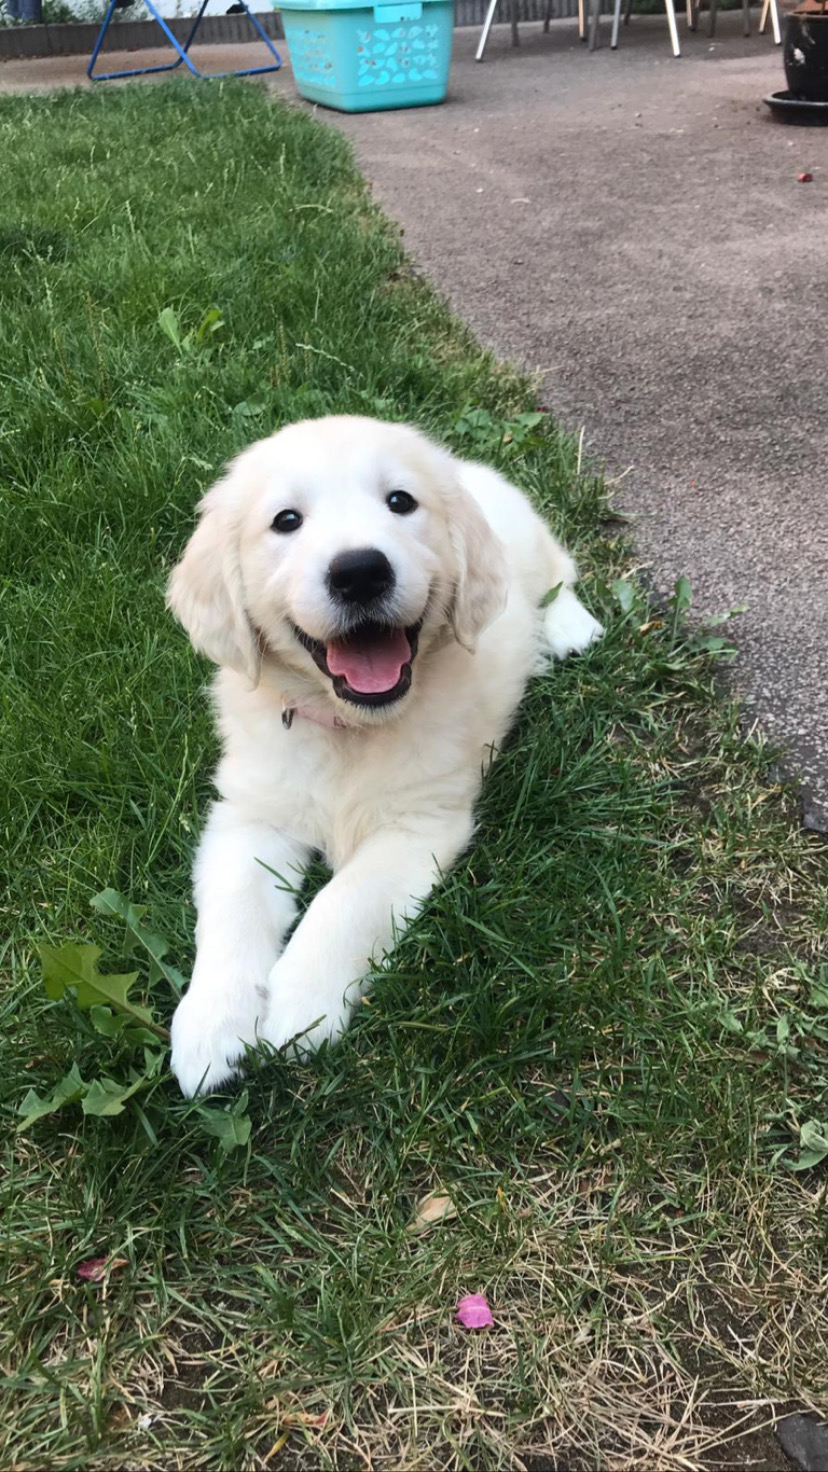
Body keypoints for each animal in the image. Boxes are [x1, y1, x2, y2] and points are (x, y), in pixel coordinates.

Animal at [167, 415, 602, 1096]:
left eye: (400, 502)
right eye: (286, 520)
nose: (360, 572)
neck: (350, 728)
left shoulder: (417, 825)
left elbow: (344, 902)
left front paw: (298, 1008)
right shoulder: (251, 815)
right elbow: (234, 905)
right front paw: (213, 1027)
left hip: (528, 539)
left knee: (560, 571)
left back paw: (568, 628)